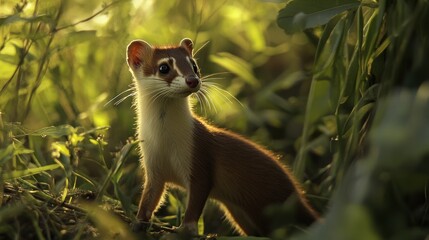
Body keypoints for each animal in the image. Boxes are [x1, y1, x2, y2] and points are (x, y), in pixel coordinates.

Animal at [125, 38, 316, 236]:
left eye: (194, 65)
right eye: (164, 67)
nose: (192, 80)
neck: (165, 141)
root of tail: (296, 193)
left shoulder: (199, 156)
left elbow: (197, 198)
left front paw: (185, 229)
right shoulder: (152, 163)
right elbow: (149, 198)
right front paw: (138, 222)